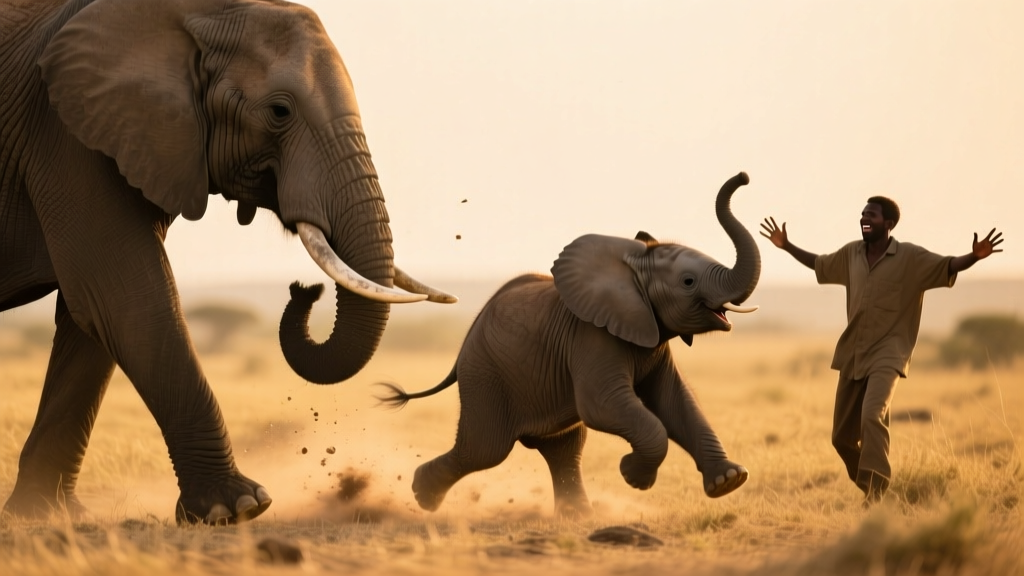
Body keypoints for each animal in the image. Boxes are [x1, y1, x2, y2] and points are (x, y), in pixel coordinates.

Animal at [0, 0, 455, 524]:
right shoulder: (65, 137)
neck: (193, 14)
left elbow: (91, 314)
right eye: (279, 112)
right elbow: (124, 297)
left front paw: (44, 515)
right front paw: (236, 509)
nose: (303, 290)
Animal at [376, 172, 760, 517]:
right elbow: (602, 406)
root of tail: (466, 339)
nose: (743, 176)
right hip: (484, 372)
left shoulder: (652, 340)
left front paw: (729, 481)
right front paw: (633, 476)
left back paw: (578, 516)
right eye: (688, 281)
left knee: (562, 447)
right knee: (485, 449)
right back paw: (421, 494)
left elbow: (675, 401)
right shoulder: (593, 337)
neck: (634, 267)